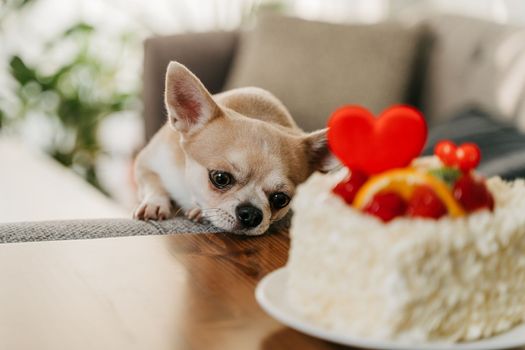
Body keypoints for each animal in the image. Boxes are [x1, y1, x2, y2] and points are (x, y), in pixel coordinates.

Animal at [132, 61, 336, 235]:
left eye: (281, 199)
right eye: (220, 178)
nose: (251, 214)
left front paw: (198, 210)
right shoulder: (146, 163)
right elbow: (153, 183)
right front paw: (155, 203)